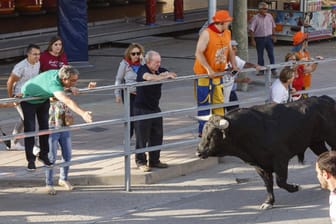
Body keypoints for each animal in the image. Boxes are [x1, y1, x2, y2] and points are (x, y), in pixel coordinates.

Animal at [197, 95, 336, 209]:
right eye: (203, 132)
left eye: (213, 135)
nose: (198, 152)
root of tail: (326, 99)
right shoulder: (259, 165)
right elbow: (268, 184)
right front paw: (269, 202)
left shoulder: (280, 159)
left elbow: (280, 182)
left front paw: (295, 187)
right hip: (316, 143)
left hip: (331, 138)